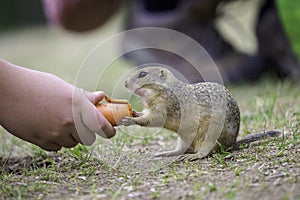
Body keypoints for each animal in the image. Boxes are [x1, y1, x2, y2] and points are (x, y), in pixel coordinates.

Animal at [120, 66, 280, 160]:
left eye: (143, 74)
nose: (125, 83)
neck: (164, 89)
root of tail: (232, 143)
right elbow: (144, 115)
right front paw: (134, 113)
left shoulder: (164, 107)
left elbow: (152, 119)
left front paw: (130, 120)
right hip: (184, 138)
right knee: (181, 150)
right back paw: (166, 152)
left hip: (209, 136)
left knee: (207, 151)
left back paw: (194, 156)